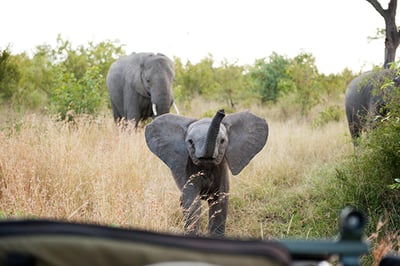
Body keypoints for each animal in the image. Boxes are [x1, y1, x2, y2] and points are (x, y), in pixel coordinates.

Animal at [145, 109, 268, 238]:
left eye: (222, 141)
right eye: (190, 142)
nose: (221, 111)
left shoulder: (221, 168)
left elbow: (219, 202)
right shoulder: (188, 170)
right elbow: (193, 203)